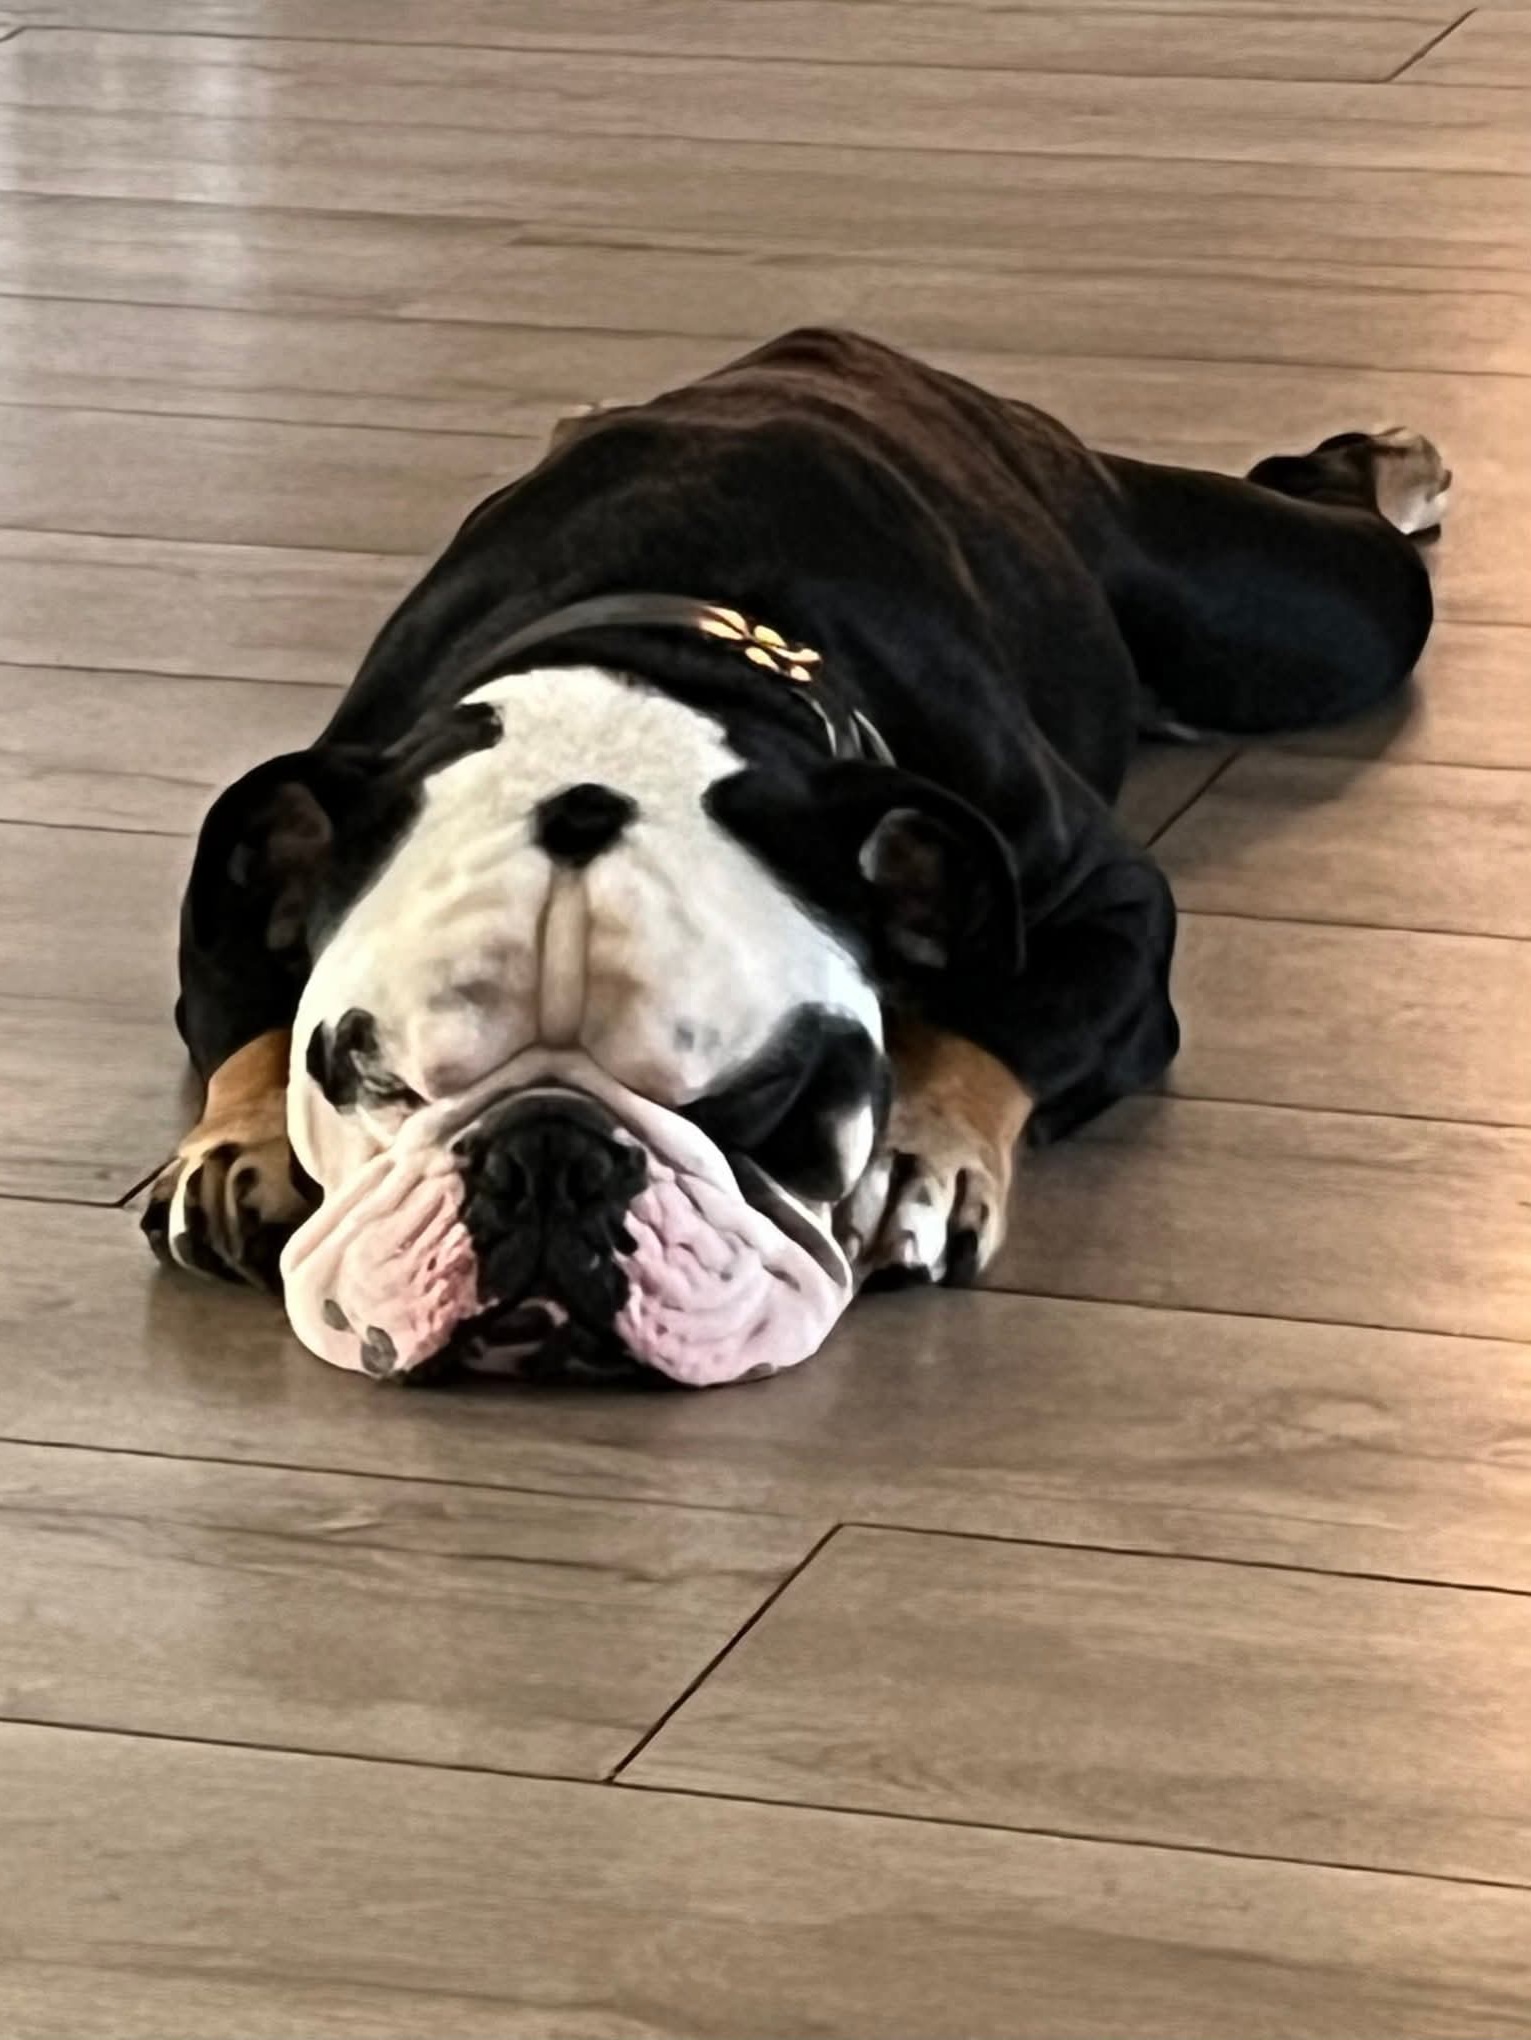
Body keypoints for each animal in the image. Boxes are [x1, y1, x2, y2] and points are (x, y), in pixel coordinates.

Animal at [142, 328, 1444, 1375]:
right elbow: (240, 1024)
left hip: (1291, 618)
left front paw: (922, 1156)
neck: (652, 656)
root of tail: (837, 351)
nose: (546, 1163)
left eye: (753, 1099)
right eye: (380, 1080)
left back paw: (1388, 464)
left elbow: (1008, 1019)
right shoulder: (264, 850)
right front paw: (236, 1140)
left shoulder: (1104, 906)